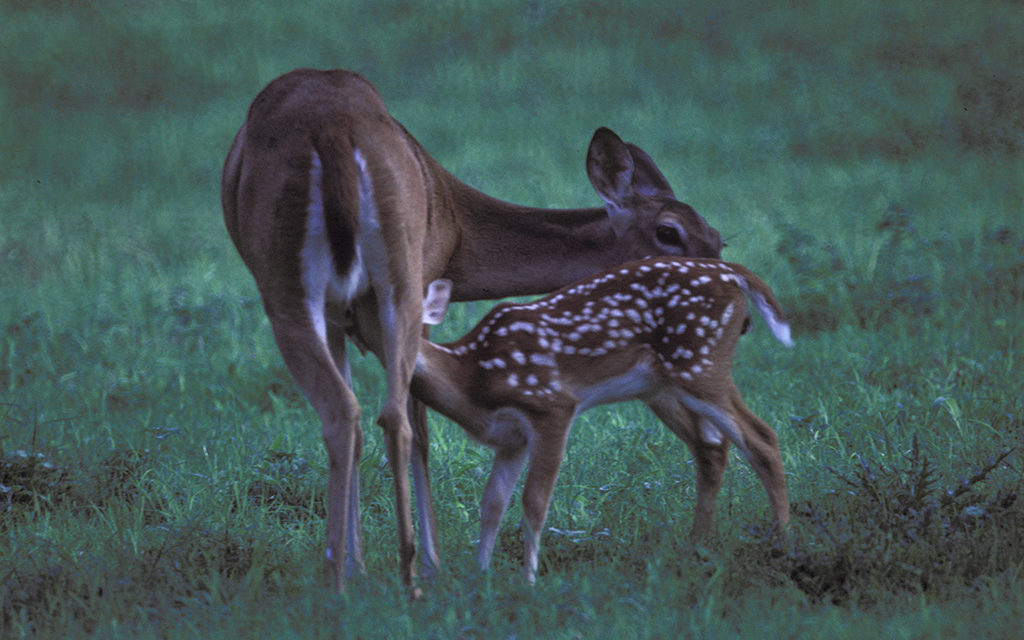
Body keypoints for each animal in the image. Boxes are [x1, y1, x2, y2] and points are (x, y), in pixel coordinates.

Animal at [221, 67, 724, 589]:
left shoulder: (363, 305)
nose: (716, 281)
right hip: (378, 280)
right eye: (668, 232)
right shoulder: (404, 289)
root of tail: (334, 134)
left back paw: (363, 576)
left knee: (361, 413)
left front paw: (371, 562)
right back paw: (399, 573)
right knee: (385, 416)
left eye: (716, 237)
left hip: (316, 286)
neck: (459, 231)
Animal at [415, 254, 790, 577]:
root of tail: (733, 272)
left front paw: (528, 581)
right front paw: (480, 577)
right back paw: (695, 548)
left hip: (701, 362)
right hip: (662, 387)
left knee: (762, 439)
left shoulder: (552, 405)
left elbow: (534, 503)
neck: (470, 377)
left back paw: (783, 547)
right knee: (711, 448)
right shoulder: (510, 439)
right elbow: (492, 503)